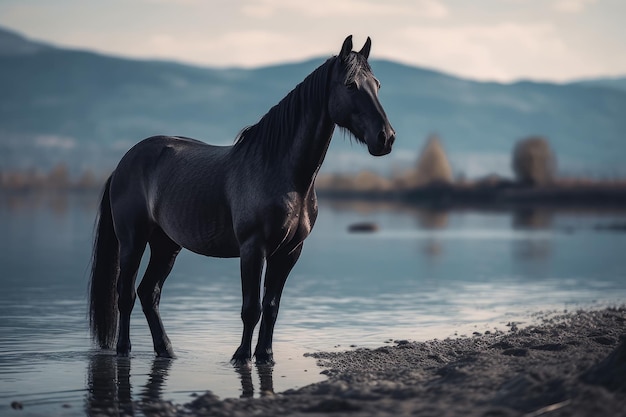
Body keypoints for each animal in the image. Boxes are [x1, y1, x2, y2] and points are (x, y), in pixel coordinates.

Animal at [89, 34, 392, 362]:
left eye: (377, 84)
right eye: (350, 85)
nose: (385, 138)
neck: (281, 171)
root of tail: (123, 163)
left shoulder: (289, 252)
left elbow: (271, 307)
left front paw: (266, 355)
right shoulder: (253, 248)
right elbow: (251, 309)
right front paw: (242, 356)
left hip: (166, 244)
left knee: (149, 293)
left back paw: (166, 350)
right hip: (132, 240)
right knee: (126, 294)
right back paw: (124, 349)